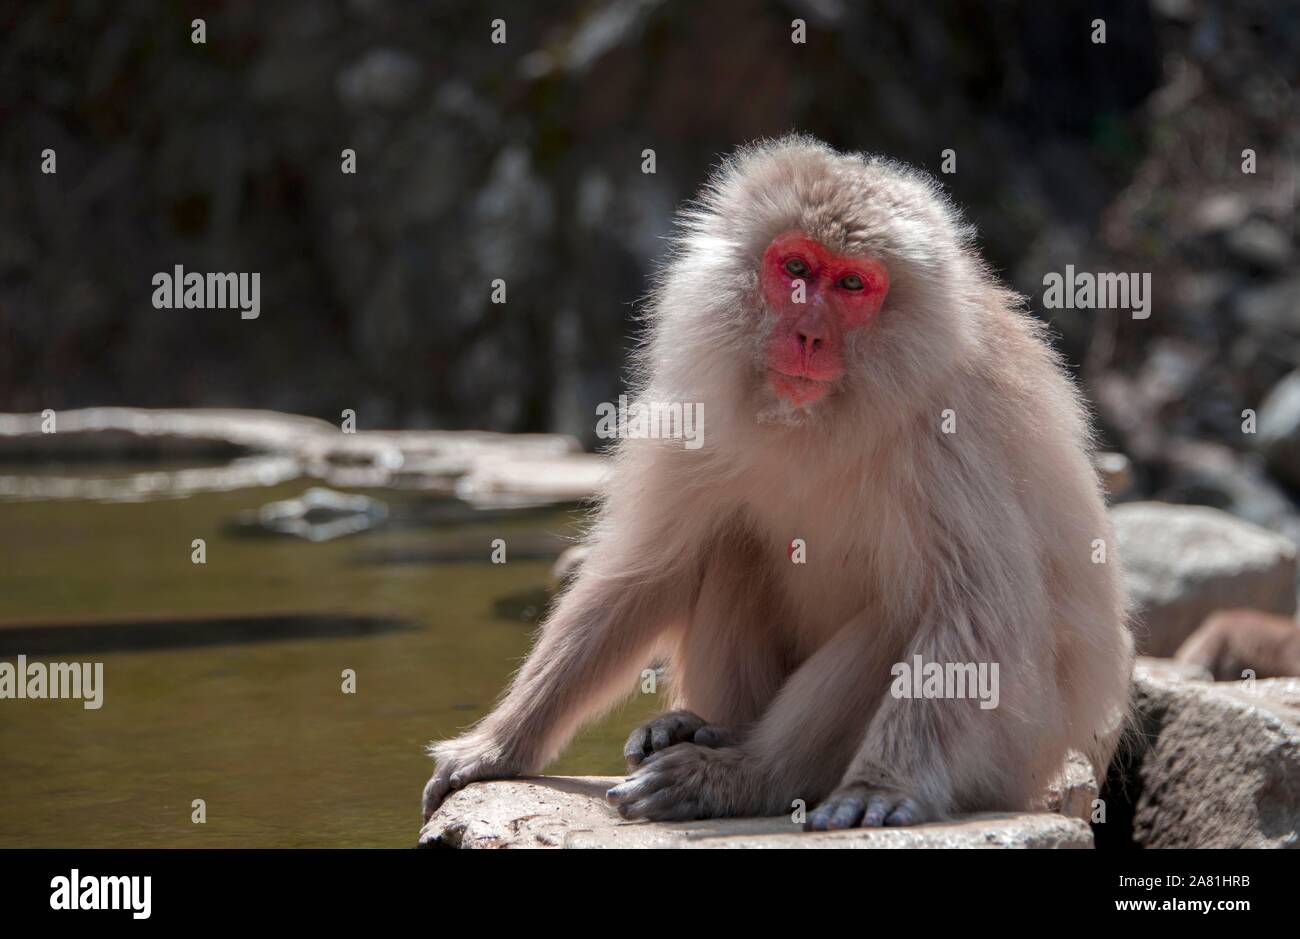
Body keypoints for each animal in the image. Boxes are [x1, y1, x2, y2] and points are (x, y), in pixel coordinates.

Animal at [422, 135, 1133, 831]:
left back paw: (748, 775)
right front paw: (498, 745)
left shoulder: (951, 430)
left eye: (852, 283)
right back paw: (707, 729)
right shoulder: (695, 409)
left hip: (1007, 754)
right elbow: (645, 571)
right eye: (795, 269)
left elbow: (974, 611)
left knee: (904, 612)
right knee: (731, 543)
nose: (809, 333)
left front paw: (880, 784)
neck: (815, 420)